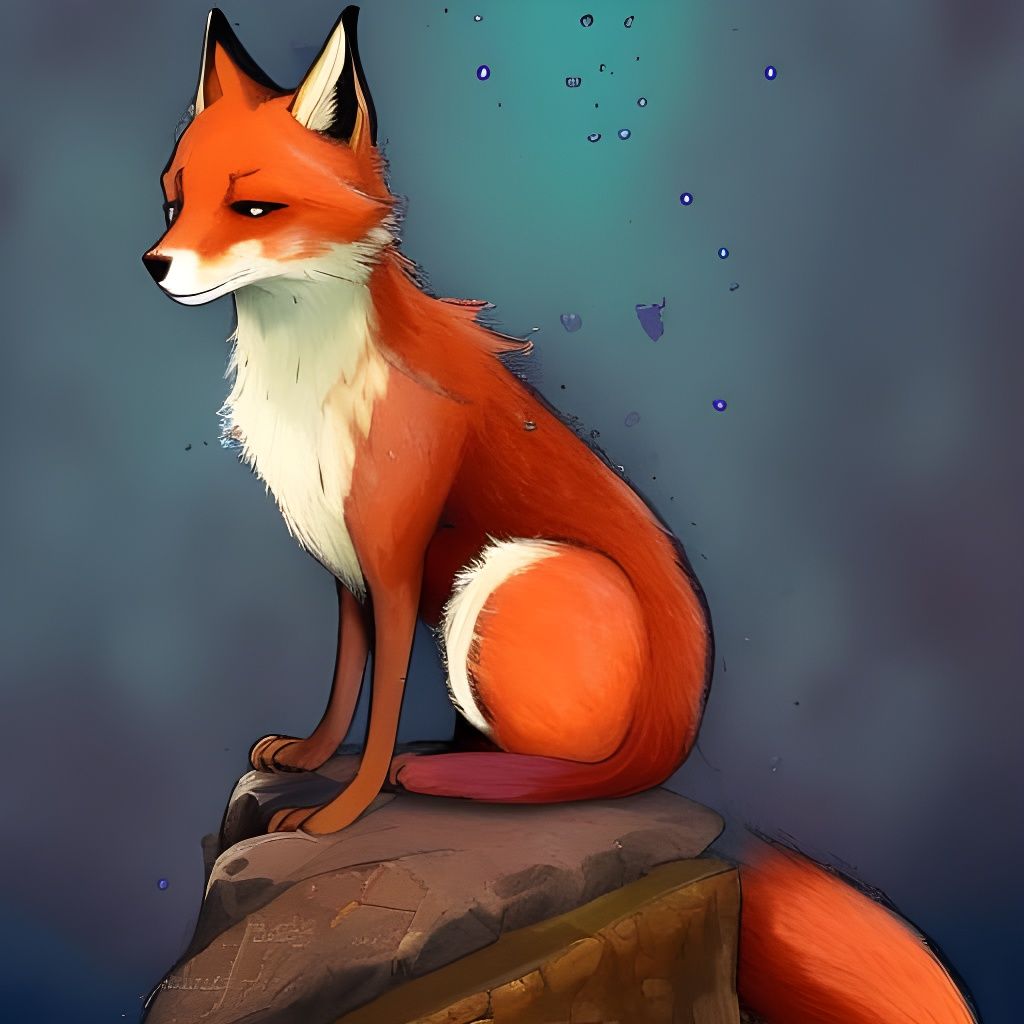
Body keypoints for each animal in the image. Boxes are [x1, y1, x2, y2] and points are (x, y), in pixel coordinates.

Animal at [141, 9, 979, 1023]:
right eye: (172, 200)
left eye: (253, 210)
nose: (154, 263)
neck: (311, 377)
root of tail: (680, 722)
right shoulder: (344, 563)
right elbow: (345, 690)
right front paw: (306, 757)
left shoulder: (394, 557)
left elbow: (378, 720)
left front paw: (341, 814)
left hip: (505, 580)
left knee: (579, 780)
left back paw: (466, 775)